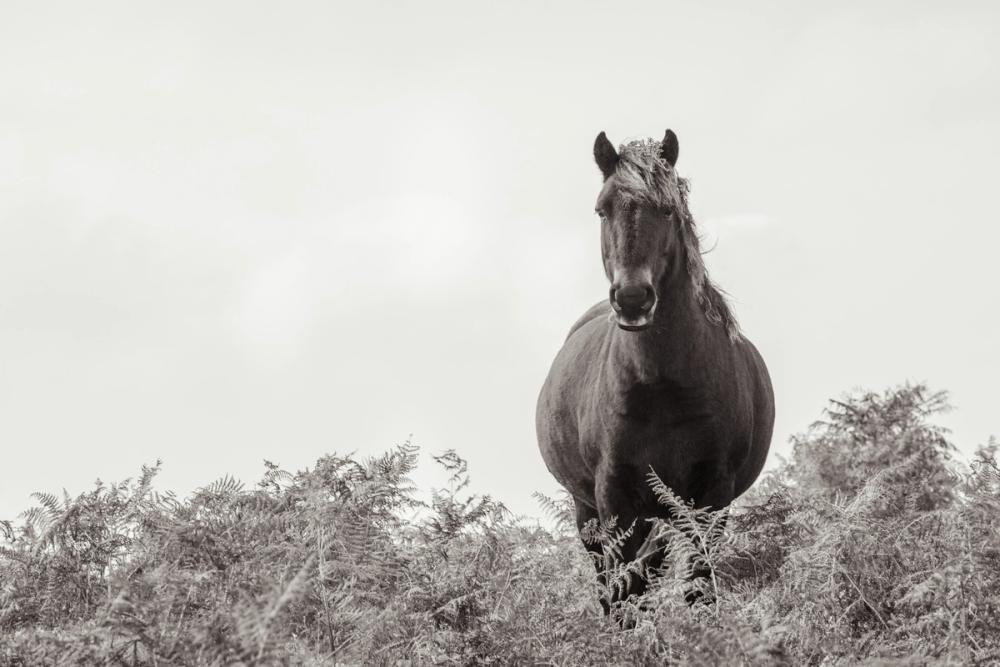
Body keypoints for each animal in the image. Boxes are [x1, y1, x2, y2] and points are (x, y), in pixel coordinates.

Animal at [536, 129, 774, 613]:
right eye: (602, 208)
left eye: (666, 209)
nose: (632, 298)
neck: (662, 386)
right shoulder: (613, 497)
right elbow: (623, 589)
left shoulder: (711, 496)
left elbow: (698, 585)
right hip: (590, 512)